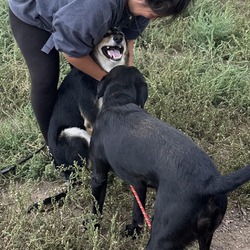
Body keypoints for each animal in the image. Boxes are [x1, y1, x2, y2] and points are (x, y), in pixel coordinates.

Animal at [47, 29, 129, 180]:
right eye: (105, 34)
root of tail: (60, 167)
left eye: (120, 33)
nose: (118, 38)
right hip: (72, 133)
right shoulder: (92, 119)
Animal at [89, 66, 250, 250]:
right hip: (206, 236)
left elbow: (96, 206)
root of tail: (209, 183)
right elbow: (137, 212)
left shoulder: (99, 175)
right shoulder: (138, 184)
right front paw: (134, 231)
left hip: (162, 238)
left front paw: (91, 226)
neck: (120, 102)